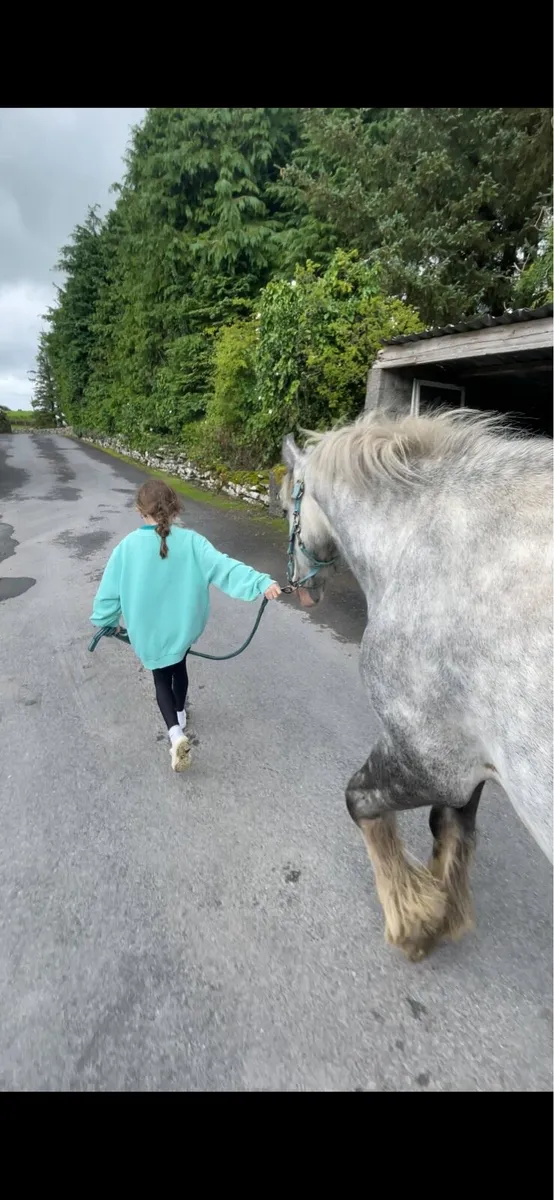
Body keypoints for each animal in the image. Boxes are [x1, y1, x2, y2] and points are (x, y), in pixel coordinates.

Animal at [281, 408, 553, 962]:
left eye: (284, 508)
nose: (300, 589)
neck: (421, 540)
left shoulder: (429, 759)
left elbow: (359, 800)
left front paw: (411, 918)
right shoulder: (468, 761)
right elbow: (451, 827)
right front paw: (440, 910)